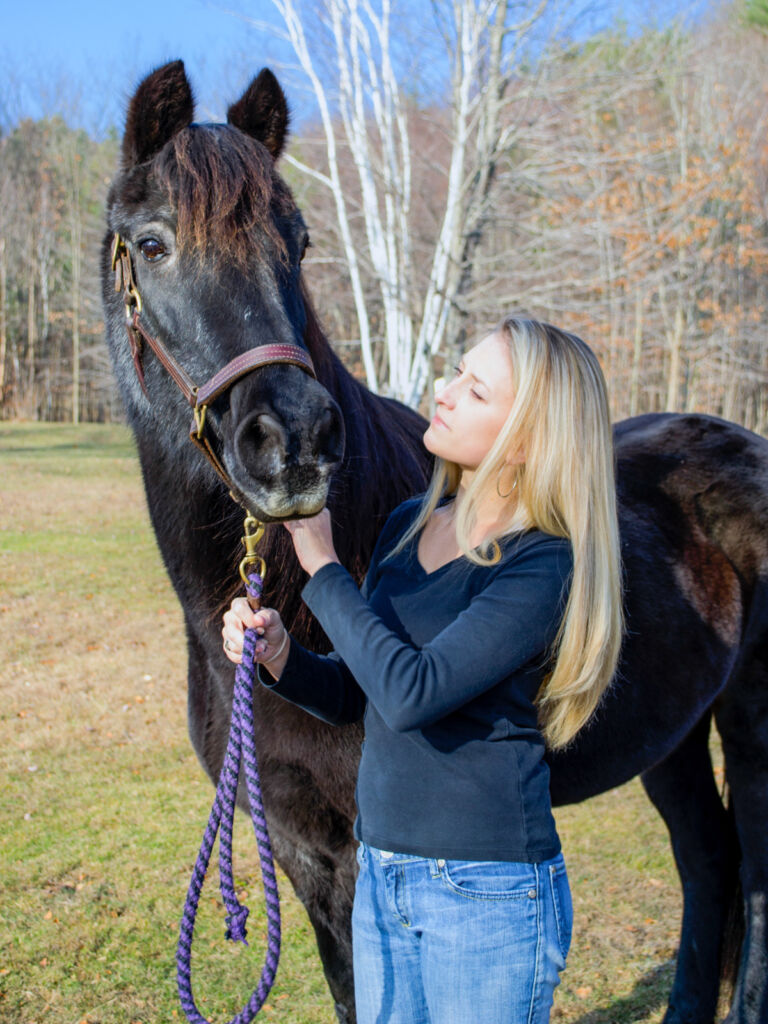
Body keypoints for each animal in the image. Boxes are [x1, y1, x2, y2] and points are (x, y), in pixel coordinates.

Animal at [101, 60, 768, 1024]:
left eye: (298, 242)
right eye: (151, 245)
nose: (295, 440)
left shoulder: (361, 848)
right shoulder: (300, 846)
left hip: (752, 721)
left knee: (752, 868)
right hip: (671, 732)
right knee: (707, 857)